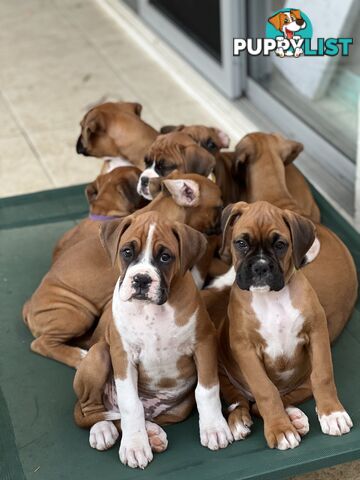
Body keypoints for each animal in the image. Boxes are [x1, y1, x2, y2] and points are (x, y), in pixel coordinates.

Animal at [73, 212, 232, 470]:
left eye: (165, 257)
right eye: (127, 252)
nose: (141, 279)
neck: (153, 310)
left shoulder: (204, 343)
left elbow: (207, 390)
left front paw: (214, 428)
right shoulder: (123, 355)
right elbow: (130, 404)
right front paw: (135, 446)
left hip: (179, 410)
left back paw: (152, 433)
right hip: (99, 354)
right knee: (92, 409)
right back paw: (104, 430)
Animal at [218, 200, 352, 450]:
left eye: (280, 245)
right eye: (241, 243)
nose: (260, 267)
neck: (271, 298)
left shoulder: (317, 331)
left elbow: (323, 376)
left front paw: (333, 414)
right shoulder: (245, 349)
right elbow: (266, 390)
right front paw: (280, 430)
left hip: (304, 381)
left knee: (281, 397)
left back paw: (295, 417)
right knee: (243, 402)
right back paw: (240, 420)